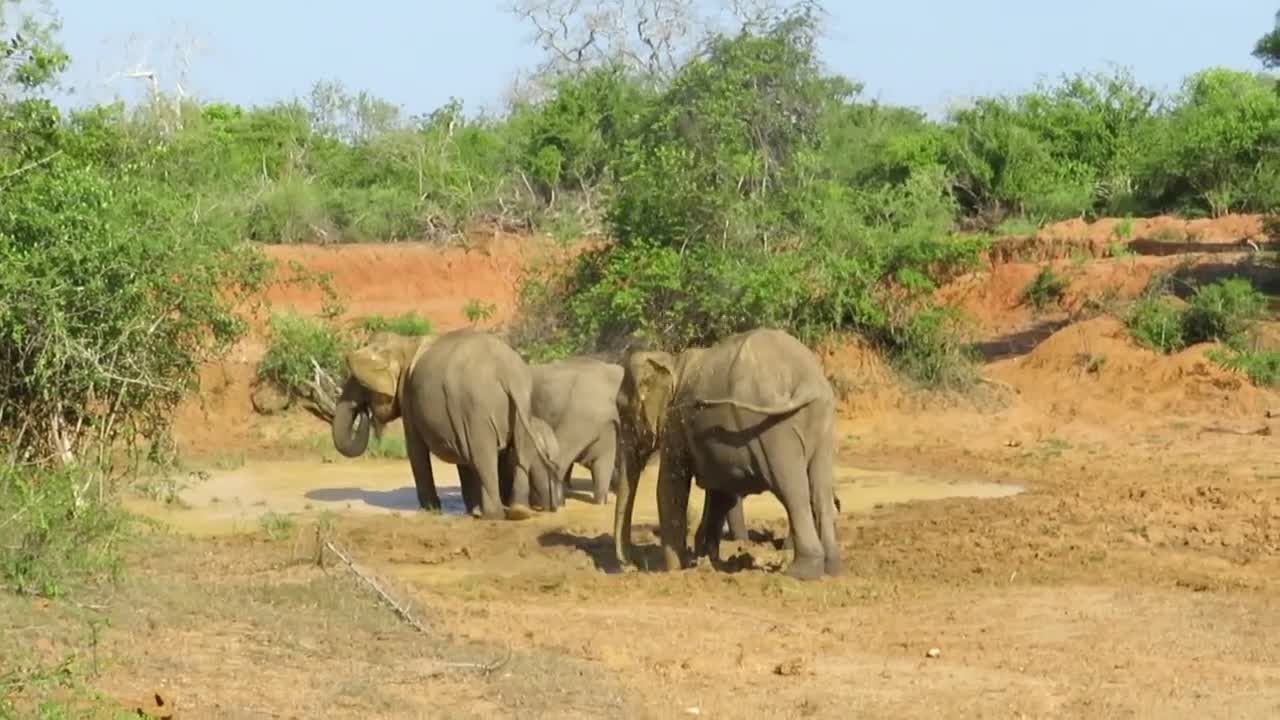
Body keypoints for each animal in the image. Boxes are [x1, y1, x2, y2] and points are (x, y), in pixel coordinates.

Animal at [330, 327, 560, 517]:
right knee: (519, 454)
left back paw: (491, 515)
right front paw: (470, 510)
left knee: (482, 456)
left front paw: (431, 510)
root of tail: (508, 375)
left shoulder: (410, 397)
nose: (363, 412)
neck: (405, 343)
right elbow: (463, 458)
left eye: (362, 384)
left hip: (477, 410)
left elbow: (416, 449)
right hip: (521, 407)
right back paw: (518, 511)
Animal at [614, 325, 844, 576]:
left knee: (792, 490)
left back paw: (800, 572)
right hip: (821, 424)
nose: (631, 566)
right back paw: (831, 567)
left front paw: (675, 571)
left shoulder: (676, 423)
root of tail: (808, 381)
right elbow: (720, 490)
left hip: (774, 429)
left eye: (623, 412)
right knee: (819, 489)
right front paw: (707, 561)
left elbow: (669, 487)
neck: (671, 362)